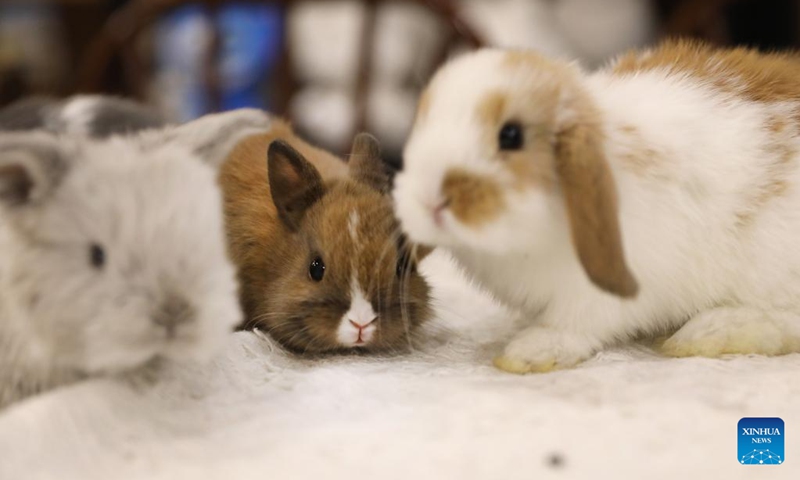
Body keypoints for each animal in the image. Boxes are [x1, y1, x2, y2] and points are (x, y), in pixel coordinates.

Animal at [392, 39, 800, 373]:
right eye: (421, 122)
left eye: (511, 135)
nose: (429, 201)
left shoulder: (600, 294)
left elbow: (575, 325)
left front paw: (530, 352)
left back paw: (706, 333)